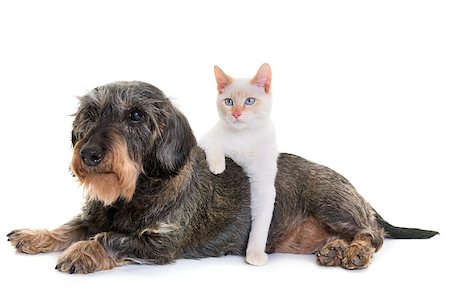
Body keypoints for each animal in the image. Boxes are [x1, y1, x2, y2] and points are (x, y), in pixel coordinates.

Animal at [200, 62, 278, 266]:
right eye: (228, 101)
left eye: (249, 101)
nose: (236, 114)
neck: (245, 136)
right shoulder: (207, 138)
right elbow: (214, 145)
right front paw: (217, 166)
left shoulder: (263, 185)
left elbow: (260, 225)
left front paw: (255, 254)